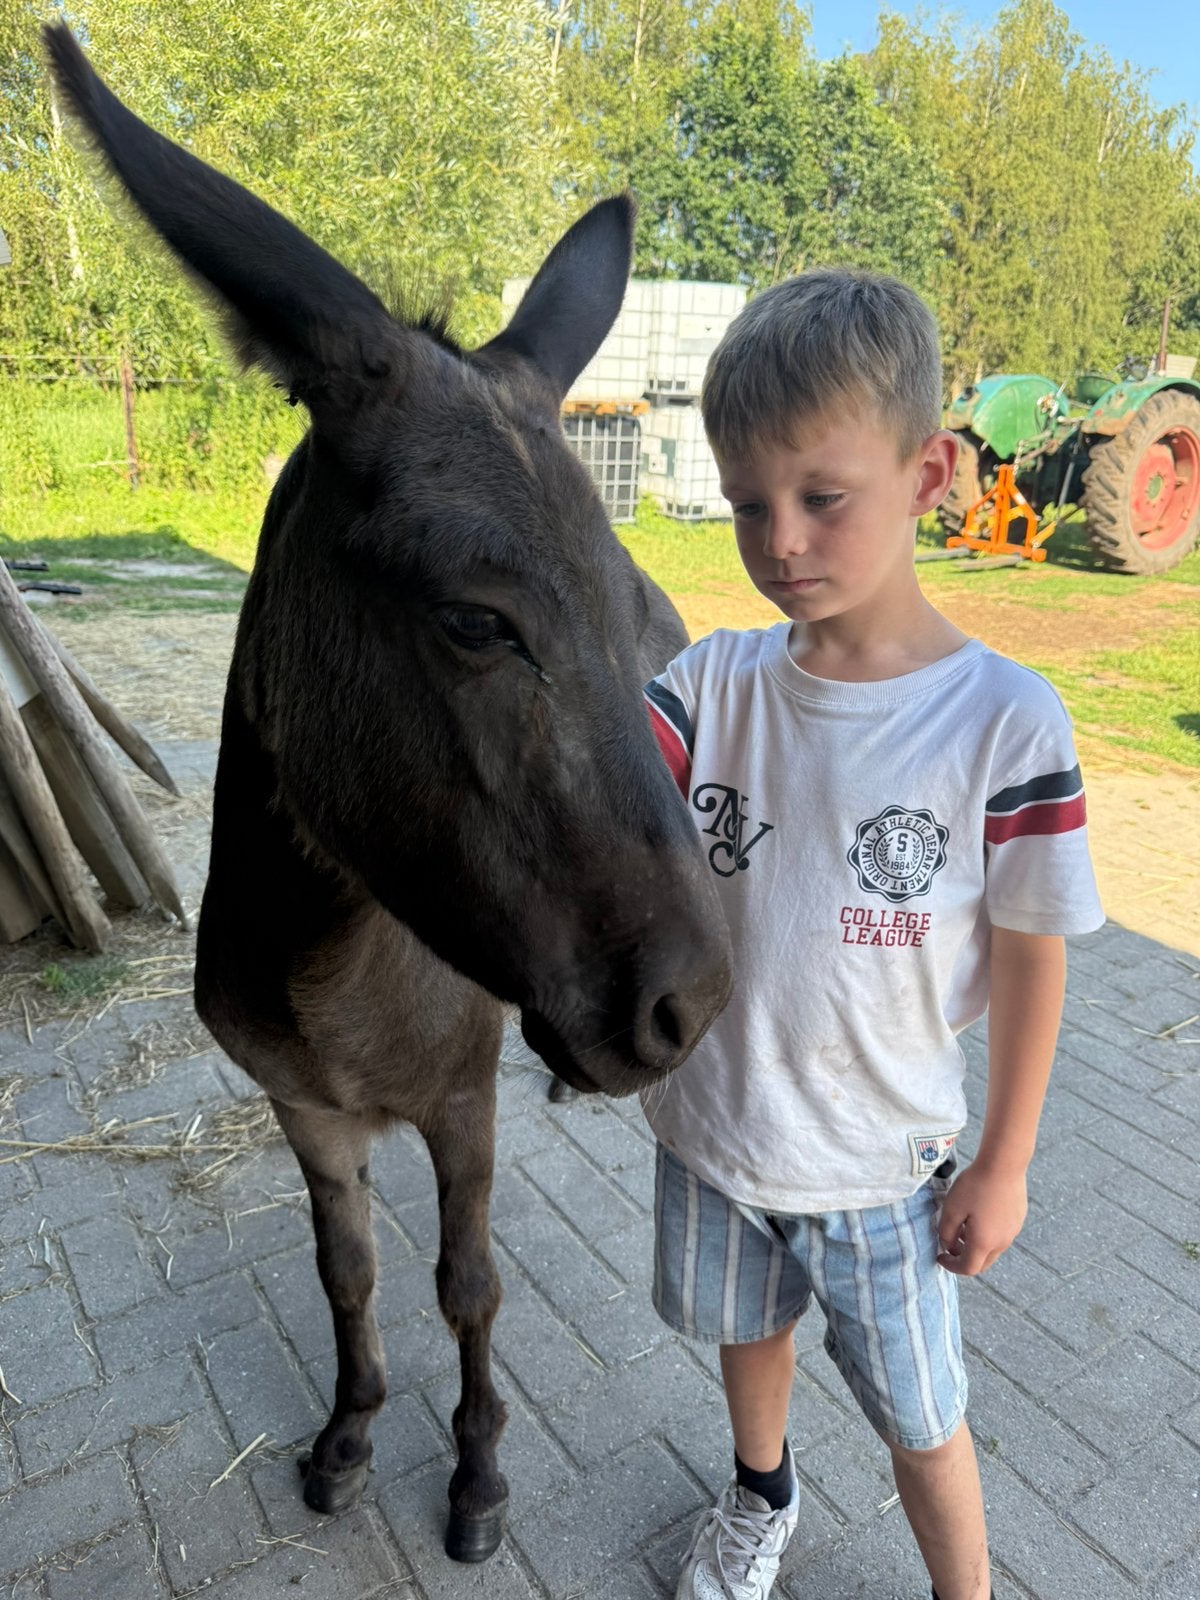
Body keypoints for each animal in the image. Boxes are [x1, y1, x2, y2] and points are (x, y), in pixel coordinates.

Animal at [44, 25, 731, 1565]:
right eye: (477, 623)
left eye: (620, 617)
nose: (694, 1007)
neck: (331, 966)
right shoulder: (305, 1104)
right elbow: (347, 1271)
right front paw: (349, 1432)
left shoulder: (459, 1097)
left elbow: (467, 1285)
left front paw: (476, 1476)